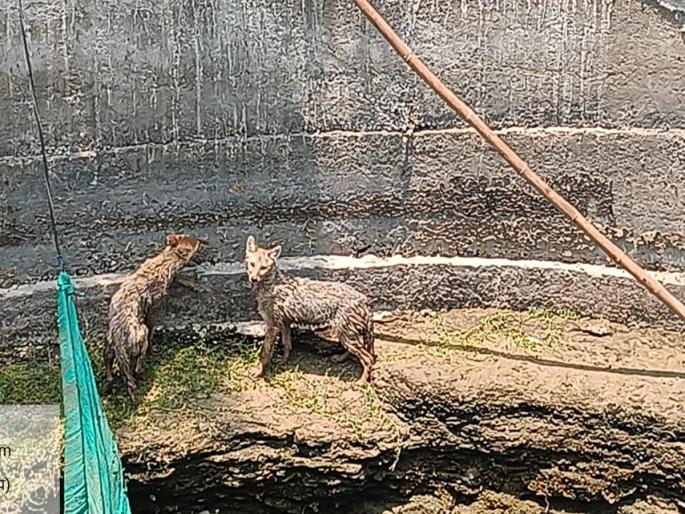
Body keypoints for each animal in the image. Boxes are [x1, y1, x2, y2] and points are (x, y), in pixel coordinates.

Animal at [104, 234, 207, 399]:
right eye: (198, 244)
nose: (206, 242)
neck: (165, 260)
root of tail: (119, 342)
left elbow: (179, 278)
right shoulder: (153, 309)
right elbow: (152, 330)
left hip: (108, 347)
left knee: (109, 369)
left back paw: (109, 382)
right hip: (141, 335)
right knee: (137, 367)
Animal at [244, 235, 376, 383]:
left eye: (263, 268)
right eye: (252, 264)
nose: (253, 279)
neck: (271, 285)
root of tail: (365, 300)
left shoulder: (273, 325)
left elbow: (265, 353)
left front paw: (260, 372)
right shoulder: (285, 323)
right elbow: (287, 344)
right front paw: (283, 362)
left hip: (347, 336)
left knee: (368, 358)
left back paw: (362, 381)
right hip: (345, 335)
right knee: (355, 352)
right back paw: (340, 359)